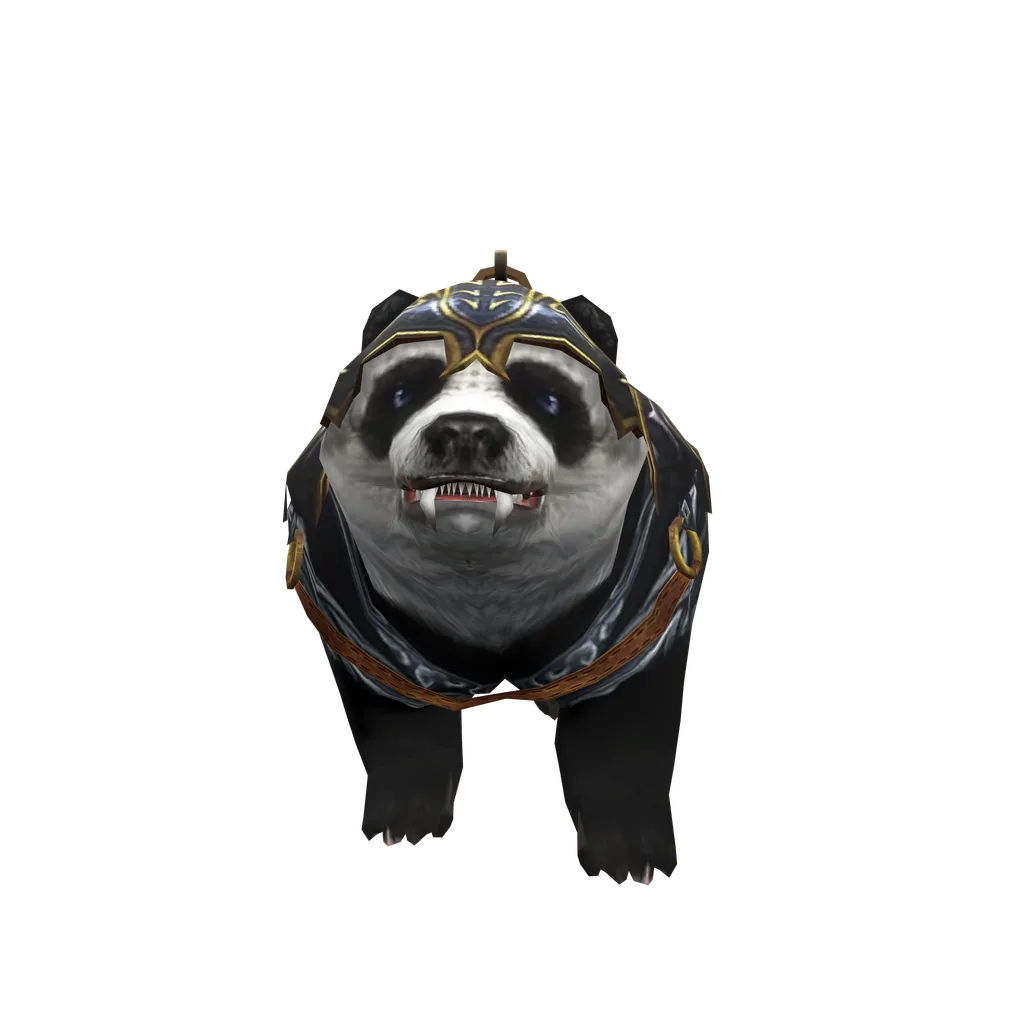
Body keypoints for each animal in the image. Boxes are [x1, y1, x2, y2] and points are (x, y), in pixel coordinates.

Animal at [283, 262, 711, 885]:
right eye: (404, 390)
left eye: (547, 397)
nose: (466, 432)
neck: (482, 575)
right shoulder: (343, 584)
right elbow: (394, 715)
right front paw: (401, 824)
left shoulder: (650, 574)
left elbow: (623, 721)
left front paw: (633, 860)